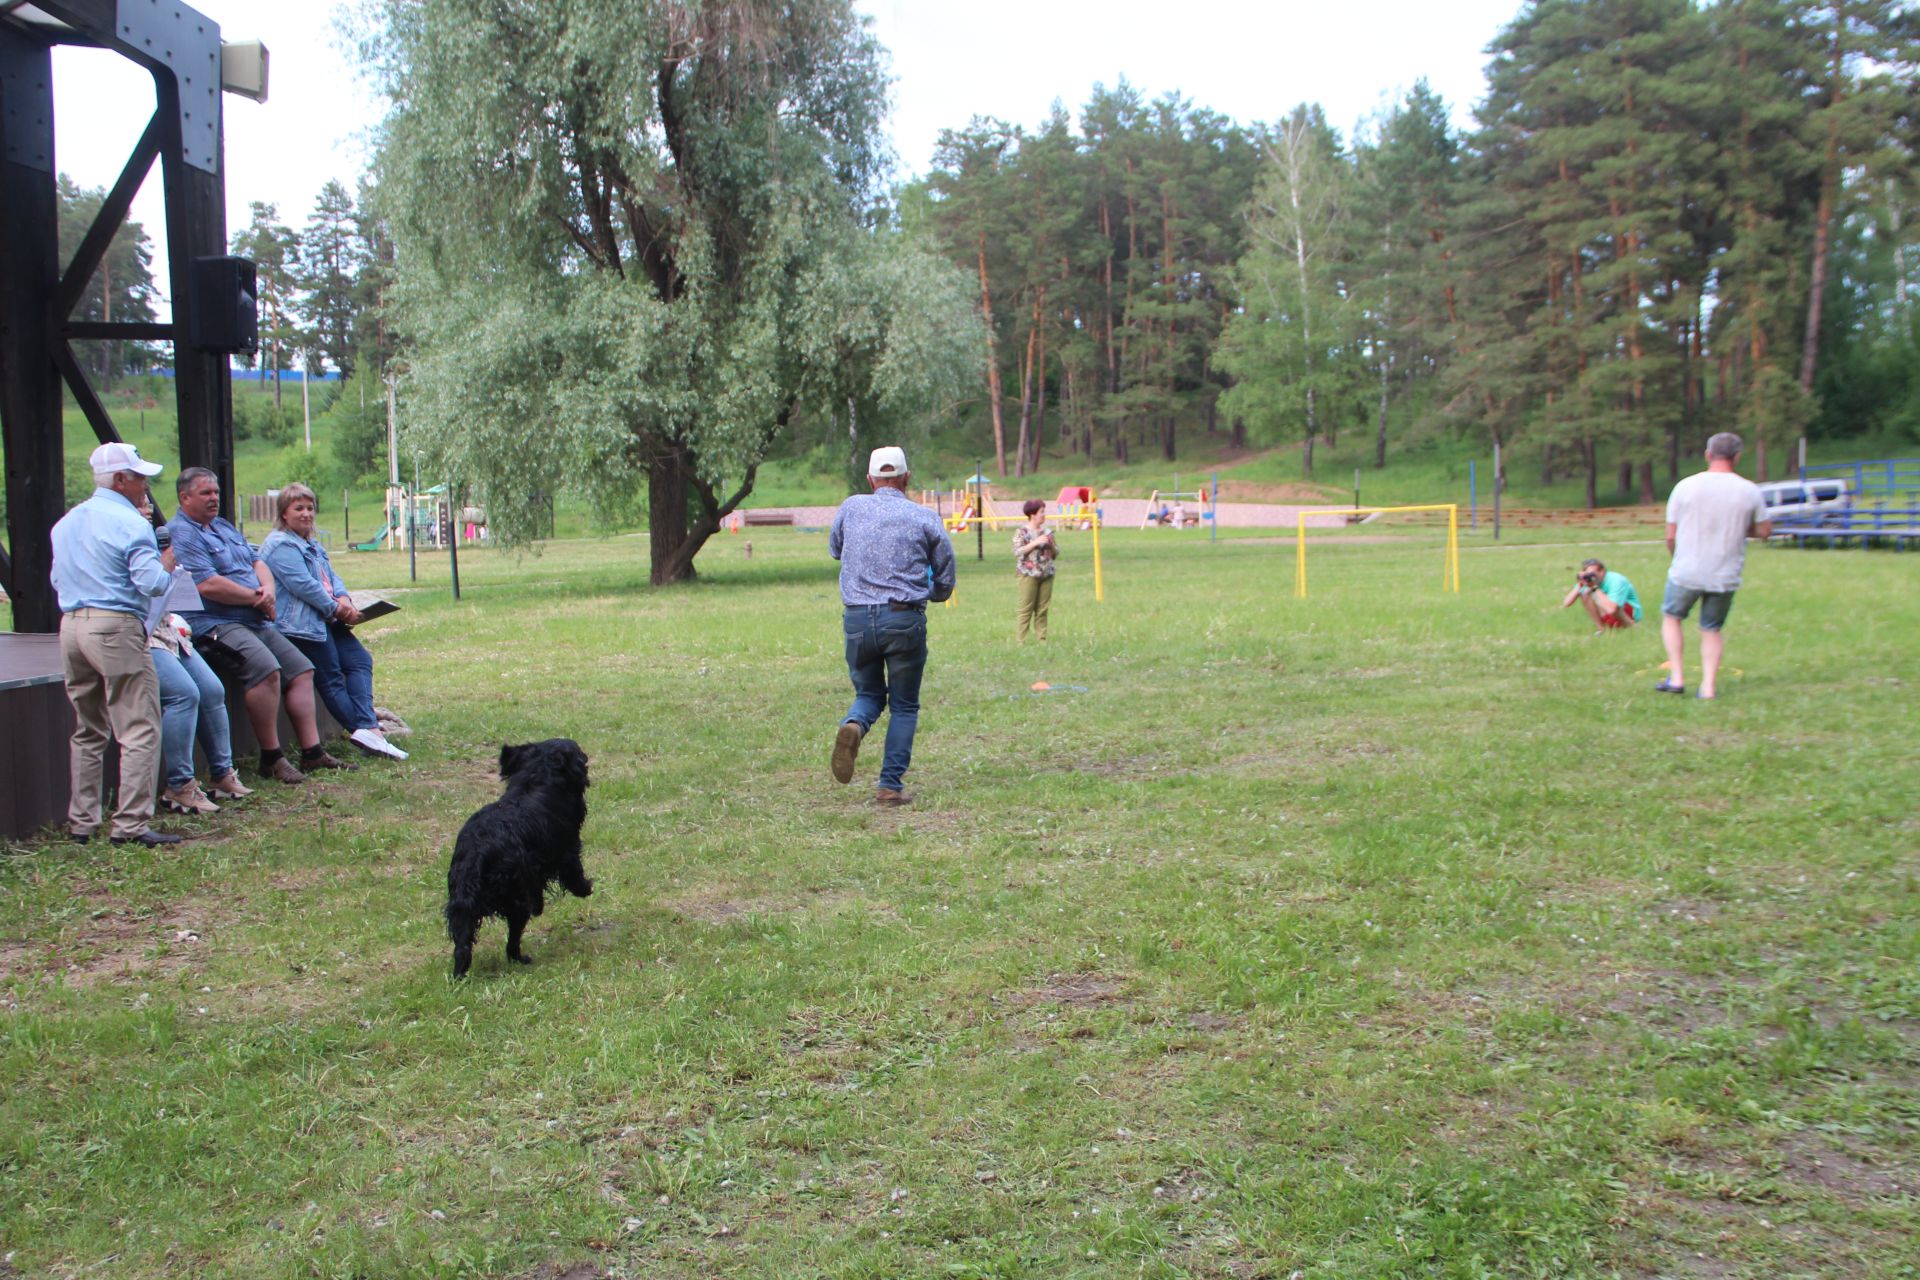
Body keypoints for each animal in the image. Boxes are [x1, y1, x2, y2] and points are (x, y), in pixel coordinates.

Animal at [443, 736, 587, 974]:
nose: (585, 758)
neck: (535, 781)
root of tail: (478, 852)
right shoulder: (566, 850)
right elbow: (574, 874)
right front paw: (586, 888)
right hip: (515, 900)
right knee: (513, 938)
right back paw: (520, 957)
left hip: (462, 904)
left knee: (462, 946)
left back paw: (459, 975)